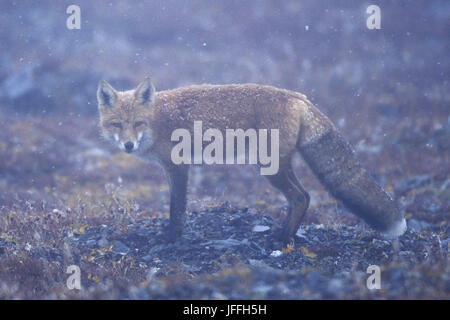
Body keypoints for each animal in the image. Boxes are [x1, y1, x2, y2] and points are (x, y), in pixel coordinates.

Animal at [96, 79, 406, 244]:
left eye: (138, 123)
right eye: (117, 125)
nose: (128, 144)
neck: (158, 119)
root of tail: (299, 96)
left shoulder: (178, 166)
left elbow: (177, 207)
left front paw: (172, 238)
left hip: (269, 167)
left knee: (300, 197)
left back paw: (282, 239)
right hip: (276, 165)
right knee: (304, 196)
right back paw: (286, 234)